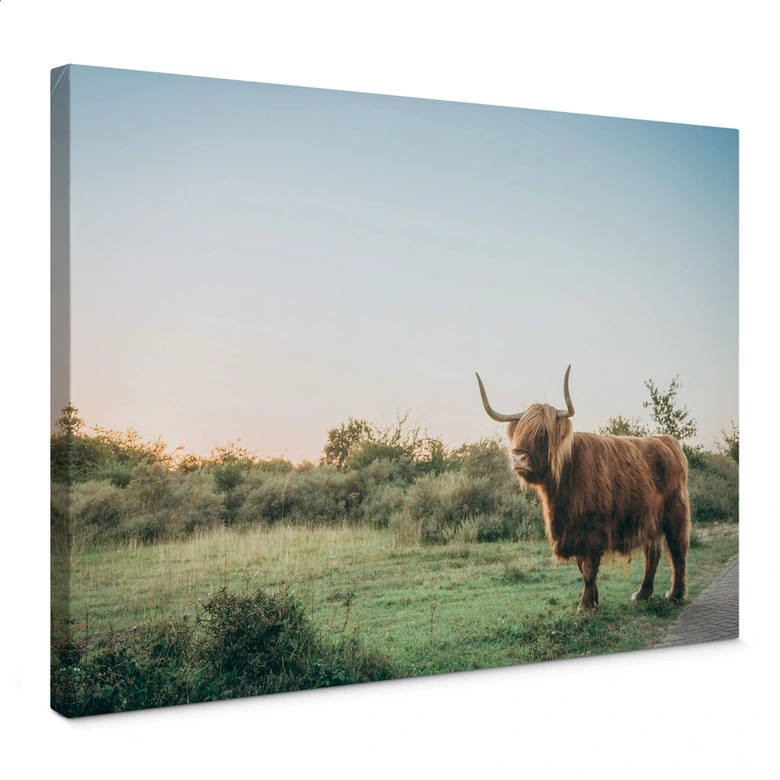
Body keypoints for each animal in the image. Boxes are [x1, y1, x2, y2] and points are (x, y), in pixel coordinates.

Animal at [476, 366, 690, 611]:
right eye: (519, 431)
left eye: (543, 434)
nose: (518, 458)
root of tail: (667, 440)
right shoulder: (573, 530)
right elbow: (583, 567)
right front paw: (594, 601)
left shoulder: (593, 529)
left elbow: (588, 569)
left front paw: (586, 605)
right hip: (649, 518)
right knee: (652, 553)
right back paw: (642, 593)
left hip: (675, 513)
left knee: (678, 550)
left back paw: (675, 594)